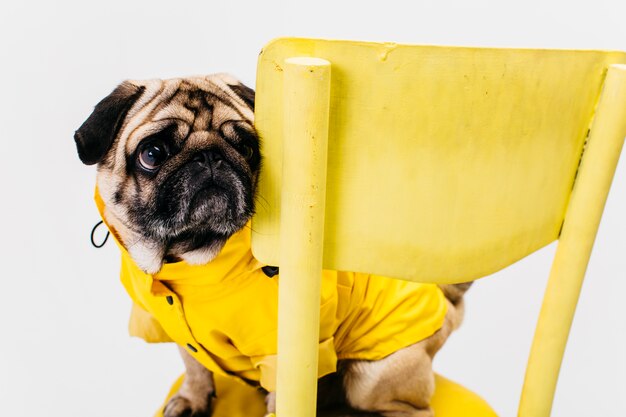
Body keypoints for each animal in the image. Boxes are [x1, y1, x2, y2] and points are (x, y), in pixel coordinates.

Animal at [74, 75, 468, 416]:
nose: (210, 156)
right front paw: (192, 399)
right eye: (152, 153)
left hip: (371, 378)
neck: (188, 259)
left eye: (247, 148)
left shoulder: (285, 354)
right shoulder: (174, 330)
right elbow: (195, 365)